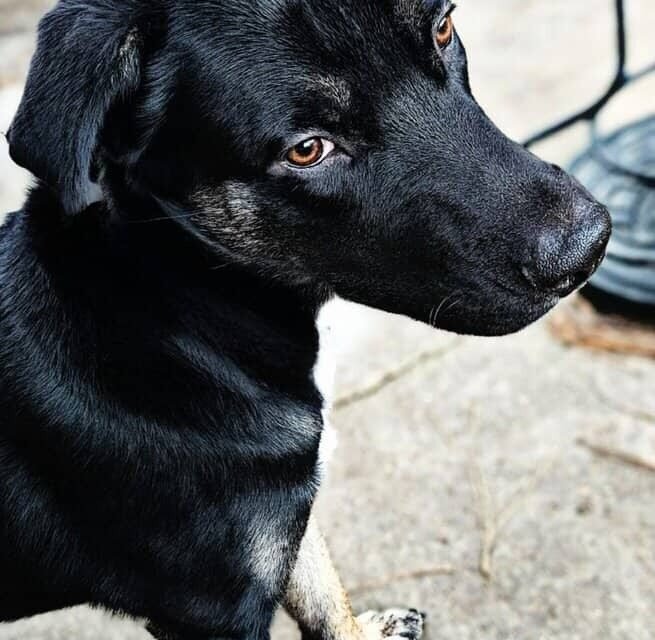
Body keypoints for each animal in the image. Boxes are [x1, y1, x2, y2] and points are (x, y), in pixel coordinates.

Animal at [1, 1, 611, 638]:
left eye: (443, 28)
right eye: (307, 150)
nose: (587, 248)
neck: (180, 310)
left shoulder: (284, 516)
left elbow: (323, 593)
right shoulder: (213, 609)